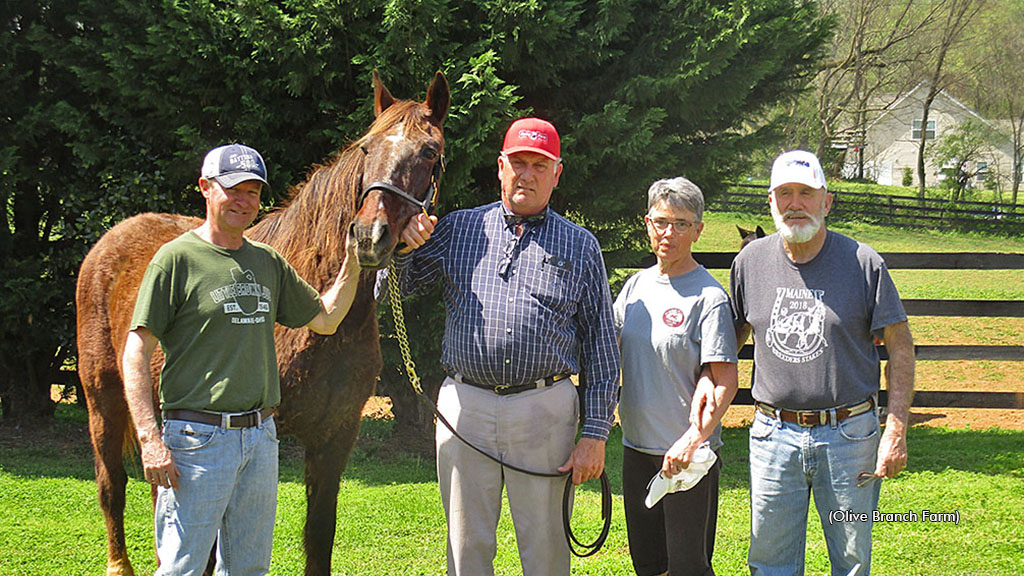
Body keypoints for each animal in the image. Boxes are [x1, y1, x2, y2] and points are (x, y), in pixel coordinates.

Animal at [74, 69, 450, 569]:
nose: (369, 237)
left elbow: (319, 535)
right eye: (367, 149)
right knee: (112, 486)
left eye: (429, 152)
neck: (322, 333)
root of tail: (112, 239)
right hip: (105, 401)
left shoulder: (334, 439)